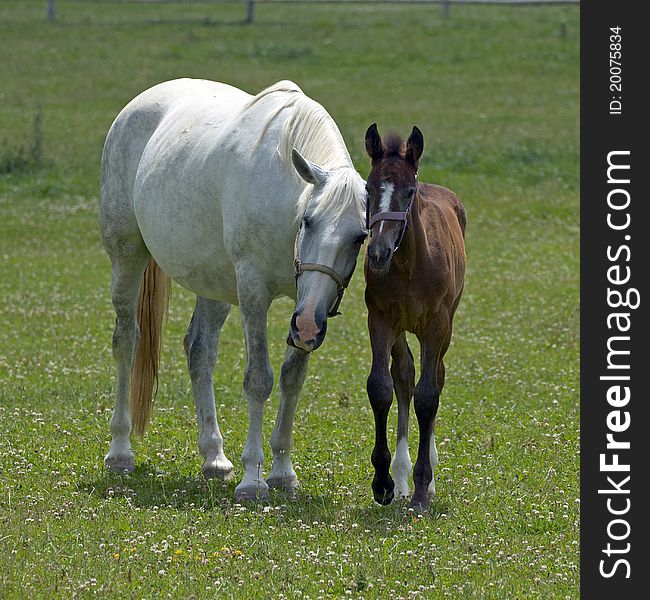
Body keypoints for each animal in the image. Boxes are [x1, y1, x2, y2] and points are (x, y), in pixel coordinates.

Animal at [99, 79, 368, 502]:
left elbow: (292, 378)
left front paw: (283, 472)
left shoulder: (306, 305)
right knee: (126, 340)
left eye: (359, 237)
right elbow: (259, 379)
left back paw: (214, 457)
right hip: (127, 256)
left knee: (199, 352)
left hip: (214, 284)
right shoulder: (253, 290)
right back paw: (120, 451)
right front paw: (253, 479)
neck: (282, 198)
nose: (310, 326)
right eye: (308, 221)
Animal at [362, 124, 464, 508]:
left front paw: (423, 486)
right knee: (404, 375)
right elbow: (381, 387)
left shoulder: (436, 324)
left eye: (408, 193)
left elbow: (428, 395)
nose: (378, 253)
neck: (408, 265)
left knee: (436, 376)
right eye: (369, 189)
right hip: (402, 328)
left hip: (444, 325)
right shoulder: (380, 318)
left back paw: (426, 477)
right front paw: (383, 482)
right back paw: (401, 477)